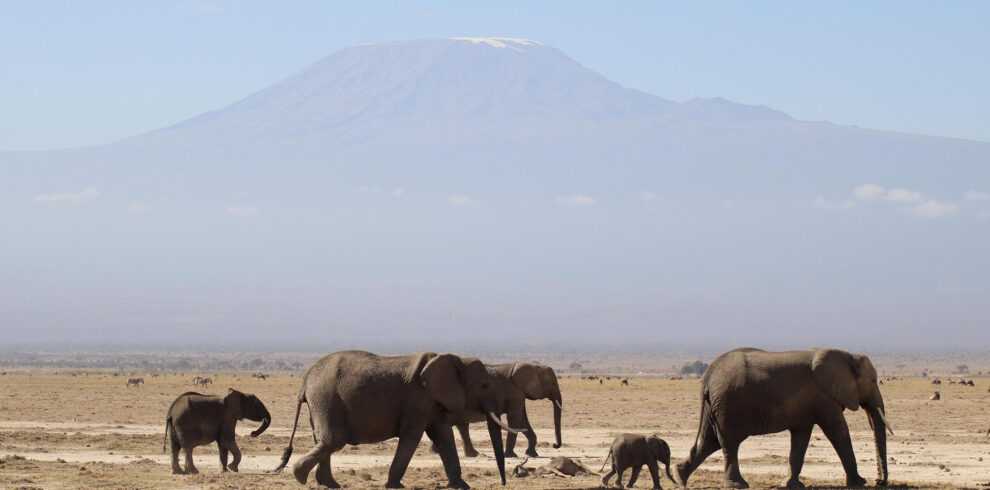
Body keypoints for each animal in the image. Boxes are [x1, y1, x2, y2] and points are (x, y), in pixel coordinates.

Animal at [272, 350, 525, 489]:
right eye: (484, 385)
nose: (503, 483)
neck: (454, 358)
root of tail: (305, 379)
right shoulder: (418, 398)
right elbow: (412, 437)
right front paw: (394, 485)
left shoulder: (432, 401)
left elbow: (444, 436)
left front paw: (462, 486)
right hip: (326, 399)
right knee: (333, 440)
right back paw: (300, 477)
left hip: (321, 403)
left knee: (324, 441)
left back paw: (329, 485)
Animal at [675, 348, 891, 489]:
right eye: (874, 381)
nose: (880, 481)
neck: (847, 355)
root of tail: (708, 375)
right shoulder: (824, 397)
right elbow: (838, 431)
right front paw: (860, 483)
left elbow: (801, 438)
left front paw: (792, 485)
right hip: (728, 405)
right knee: (729, 443)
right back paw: (738, 485)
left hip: (716, 405)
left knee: (709, 441)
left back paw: (679, 477)